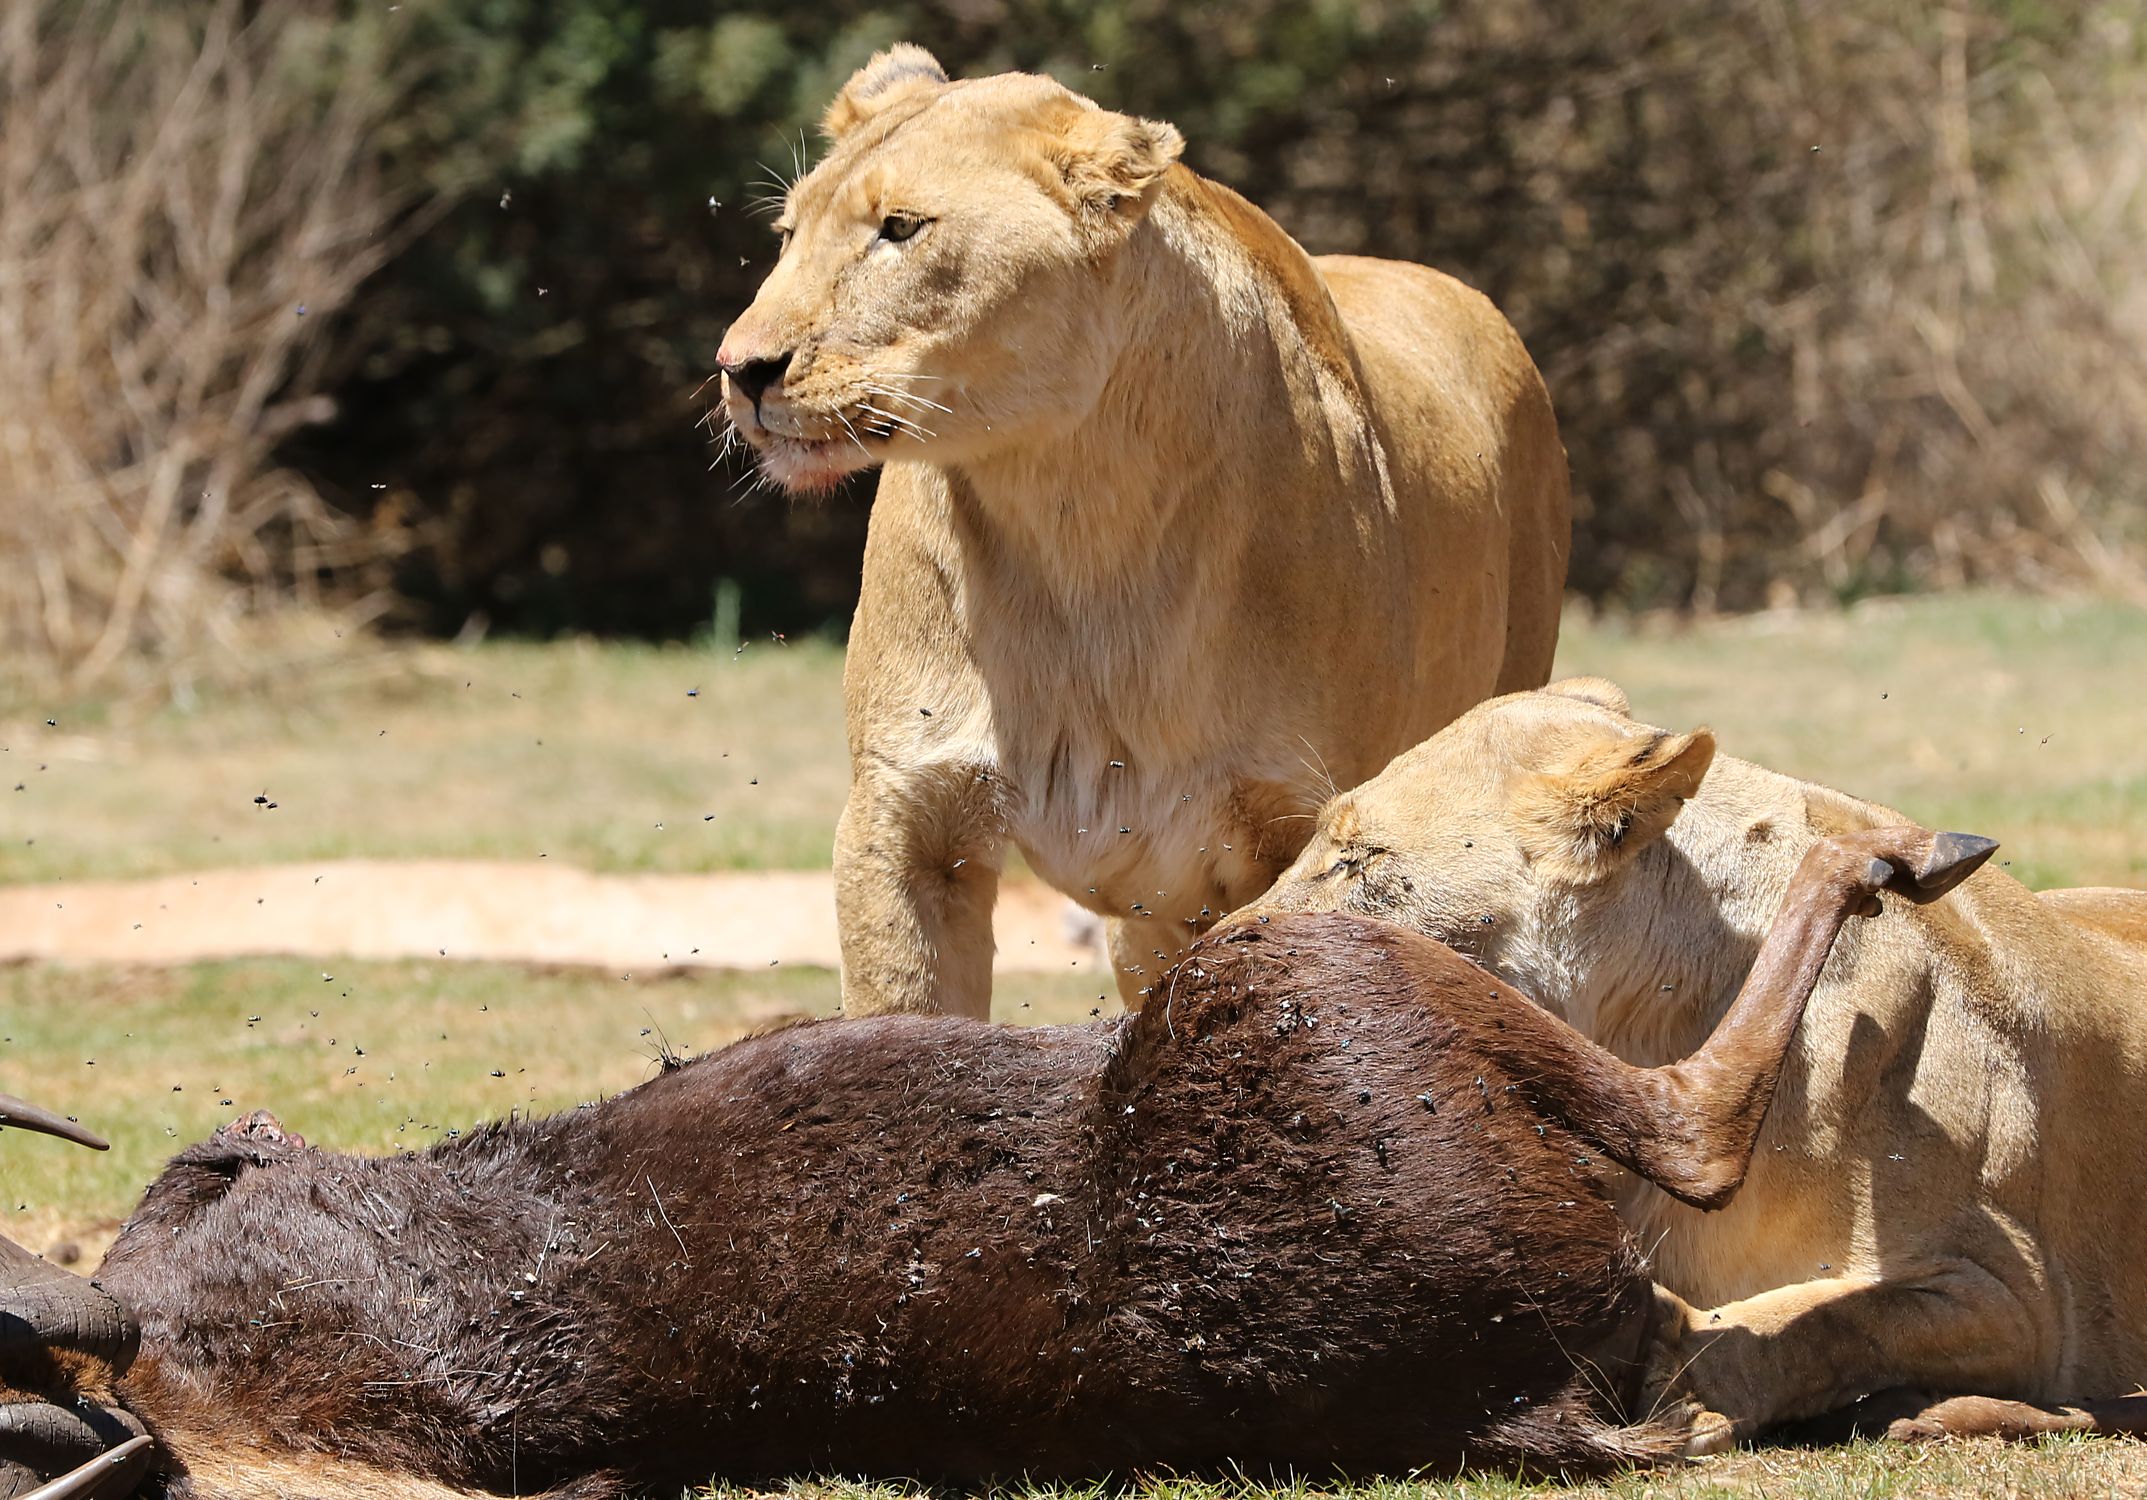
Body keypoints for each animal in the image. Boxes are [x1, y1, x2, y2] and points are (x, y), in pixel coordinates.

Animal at [715, 46, 1571, 1018]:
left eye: (900, 228)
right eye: (787, 234)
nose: (738, 369)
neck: (1072, 509)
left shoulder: (1297, 826)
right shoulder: (903, 815)